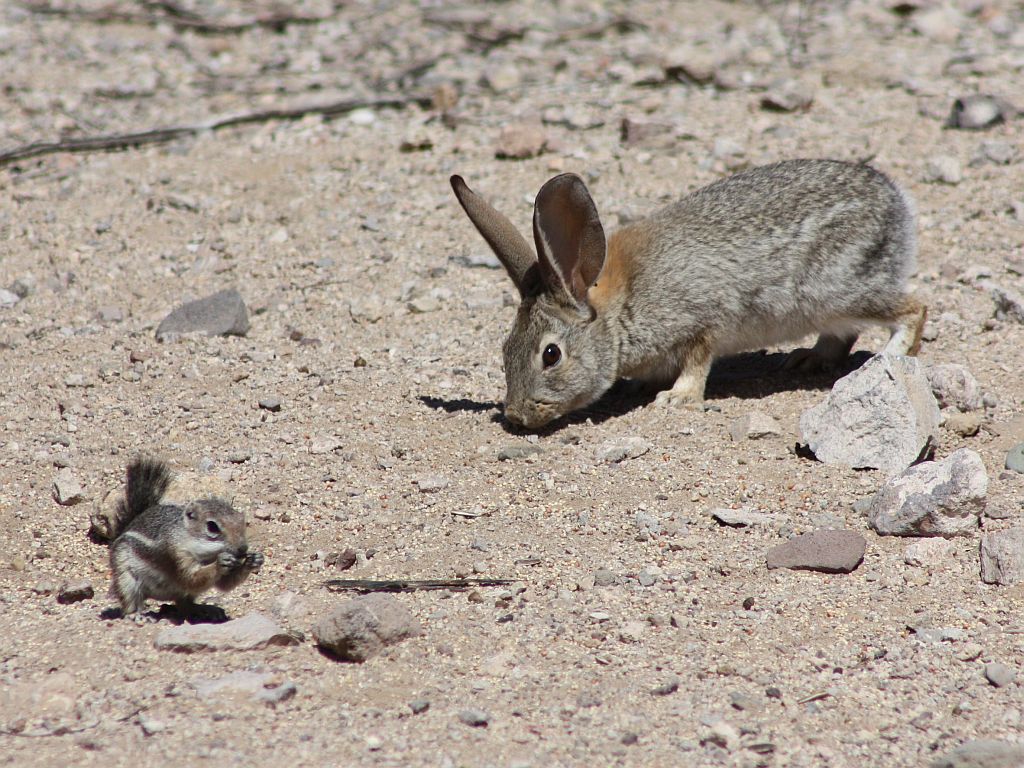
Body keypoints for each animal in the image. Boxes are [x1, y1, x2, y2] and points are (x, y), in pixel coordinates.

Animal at [106, 460, 260, 618]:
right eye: (212, 527)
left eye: (242, 521)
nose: (243, 549)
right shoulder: (175, 553)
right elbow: (190, 578)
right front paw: (220, 562)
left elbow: (224, 585)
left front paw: (253, 560)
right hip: (125, 577)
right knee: (129, 602)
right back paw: (136, 615)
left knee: (184, 605)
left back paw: (204, 609)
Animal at [452, 158, 925, 430]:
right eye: (505, 349)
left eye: (551, 355)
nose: (517, 416)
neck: (620, 310)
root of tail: (897, 202)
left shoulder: (700, 322)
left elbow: (698, 362)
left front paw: (674, 399)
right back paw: (809, 359)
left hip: (839, 289)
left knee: (914, 307)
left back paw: (888, 358)